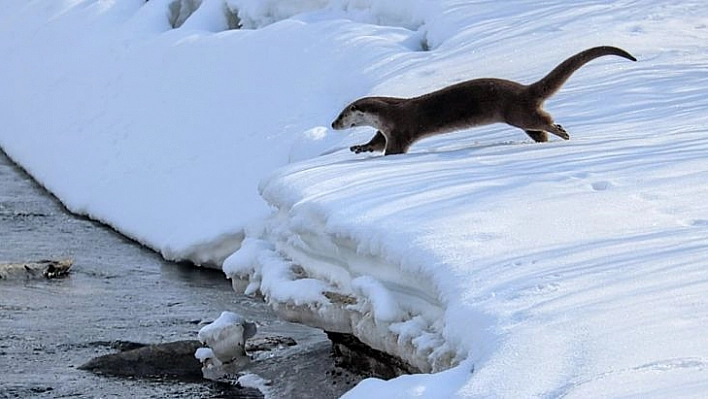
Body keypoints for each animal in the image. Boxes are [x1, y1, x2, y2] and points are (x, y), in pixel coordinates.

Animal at [332, 45, 636, 155]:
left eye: (341, 115)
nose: (334, 125)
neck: (388, 113)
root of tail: (524, 89)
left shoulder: (400, 129)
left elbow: (393, 149)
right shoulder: (384, 130)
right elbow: (375, 142)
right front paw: (359, 147)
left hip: (517, 112)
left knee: (544, 121)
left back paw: (561, 132)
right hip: (523, 116)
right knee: (538, 128)